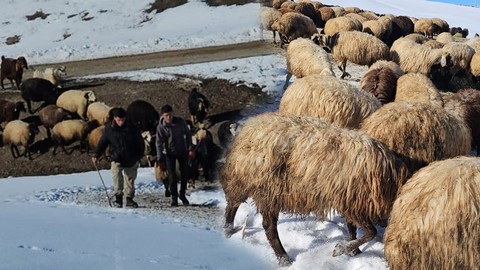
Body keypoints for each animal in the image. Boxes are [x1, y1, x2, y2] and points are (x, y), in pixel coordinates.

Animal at [221, 112, 408, 266]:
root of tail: (246, 130)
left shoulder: (349, 200)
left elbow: (353, 228)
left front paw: (353, 251)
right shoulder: (354, 202)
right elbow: (371, 232)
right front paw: (342, 249)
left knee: (236, 206)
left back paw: (229, 231)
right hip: (264, 188)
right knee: (263, 223)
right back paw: (282, 257)